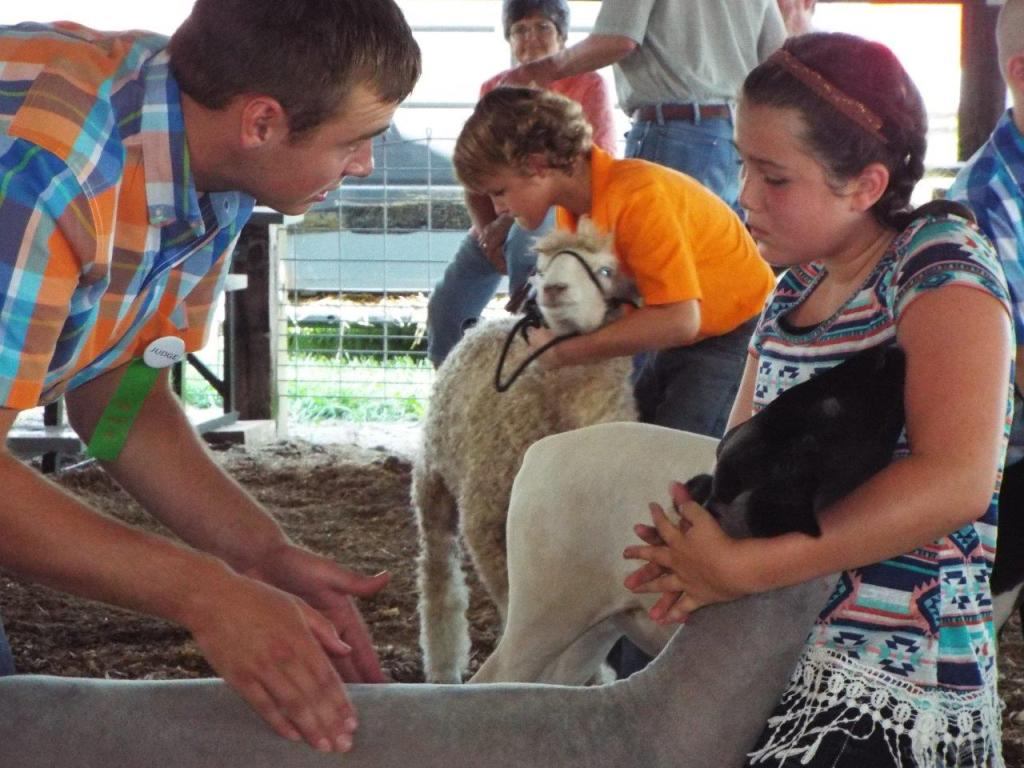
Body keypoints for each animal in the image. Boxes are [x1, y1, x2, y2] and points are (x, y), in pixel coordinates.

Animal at [414, 216, 639, 683]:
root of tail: (481, 325)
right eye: (541, 269)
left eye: (606, 270)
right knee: (438, 575)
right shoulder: (486, 524)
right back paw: (444, 667)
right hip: (434, 480)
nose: (554, 289)